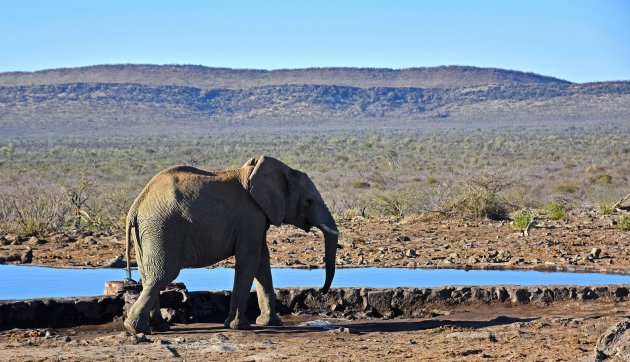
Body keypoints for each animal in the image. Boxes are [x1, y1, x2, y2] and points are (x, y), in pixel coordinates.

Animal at [124, 156, 340, 334]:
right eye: (309, 201)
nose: (322, 292)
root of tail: (136, 206)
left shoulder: (257, 217)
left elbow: (262, 262)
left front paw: (270, 323)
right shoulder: (251, 215)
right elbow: (250, 260)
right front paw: (239, 326)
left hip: (148, 232)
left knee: (148, 275)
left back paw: (158, 327)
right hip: (163, 228)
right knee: (162, 274)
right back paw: (135, 329)